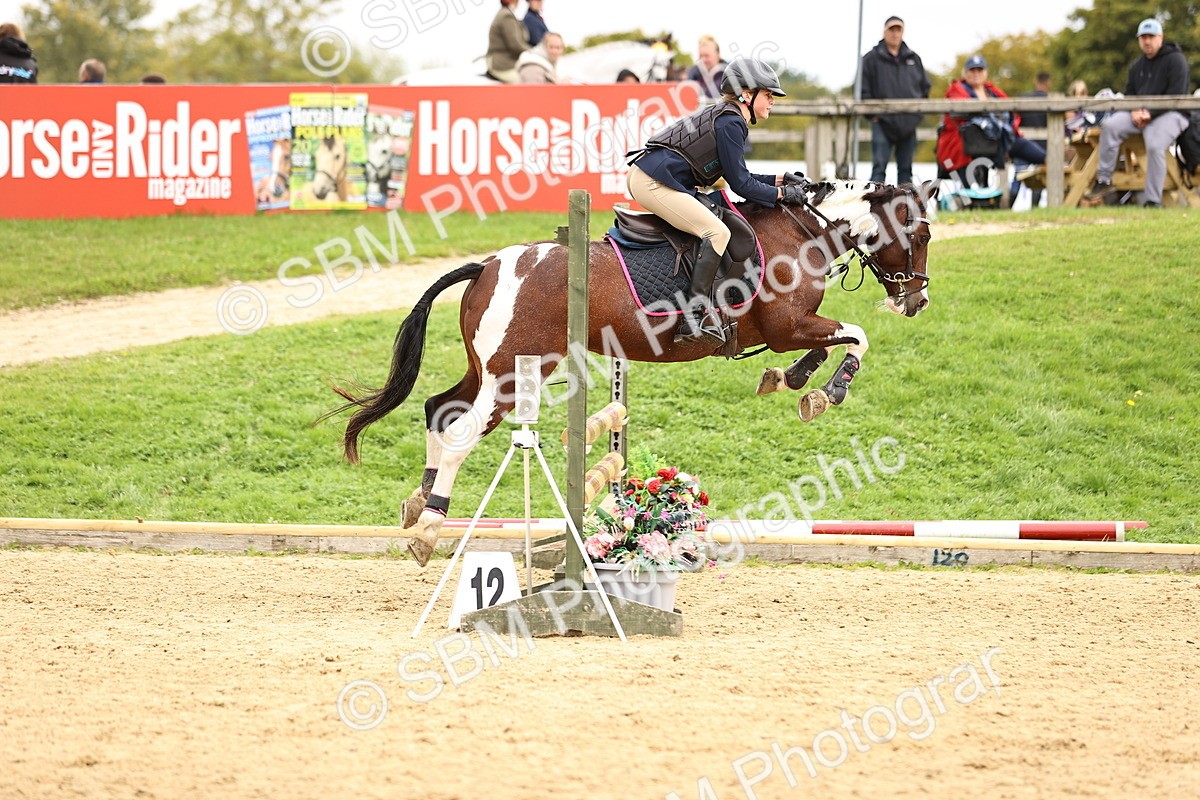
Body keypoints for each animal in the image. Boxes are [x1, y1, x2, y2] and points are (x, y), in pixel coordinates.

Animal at [324, 180, 937, 565]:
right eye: (923, 235)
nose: (917, 302)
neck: (801, 234)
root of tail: (488, 265)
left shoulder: (789, 332)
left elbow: (833, 345)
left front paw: (795, 382)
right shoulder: (789, 325)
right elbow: (857, 337)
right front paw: (826, 391)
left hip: (490, 369)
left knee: (438, 410)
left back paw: (418, 504)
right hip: (511, 377)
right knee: (459, 433)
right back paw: (430, 528)